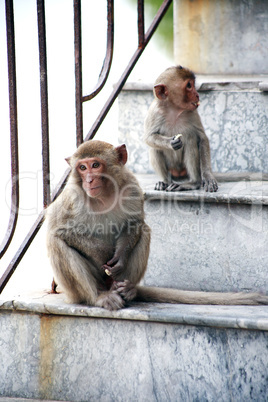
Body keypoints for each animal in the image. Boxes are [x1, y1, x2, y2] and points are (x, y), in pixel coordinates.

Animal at [46, 140, 268, 310]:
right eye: (82, 168)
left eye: (95, 165)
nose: (89, 180)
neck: (104, 195)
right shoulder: (72, 198)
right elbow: (58, 230)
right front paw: (103, 253)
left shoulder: (132, 187)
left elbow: (135, 224)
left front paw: (119, 258)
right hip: (78, 290)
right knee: (56, 243)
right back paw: (99, 297)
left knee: (144, 232)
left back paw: (128, 290)